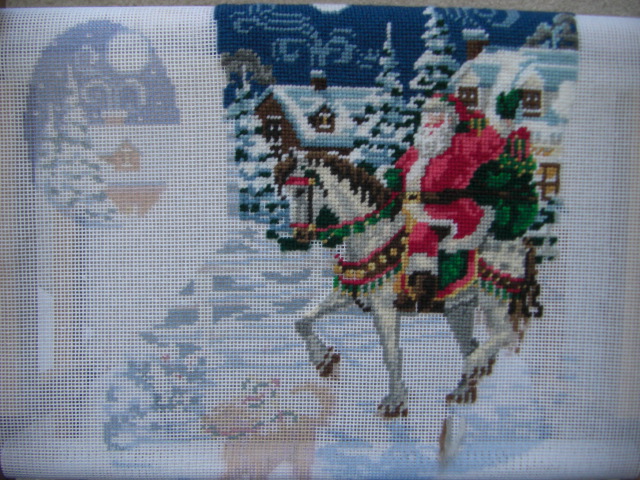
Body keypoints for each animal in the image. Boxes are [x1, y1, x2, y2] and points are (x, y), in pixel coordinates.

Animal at [274, 148, 541, 419]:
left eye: (299, 192)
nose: (300, 234)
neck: (374, 234)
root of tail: (523, 243)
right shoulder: (348, 294)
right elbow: (302, 321)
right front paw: (324, 360)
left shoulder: (385, 309)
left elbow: (391, 355)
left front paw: (395, 401)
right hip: (459, 308)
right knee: (471, 344)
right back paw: (463, 391)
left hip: (493, 302)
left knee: (503, 335)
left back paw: (474, 366)